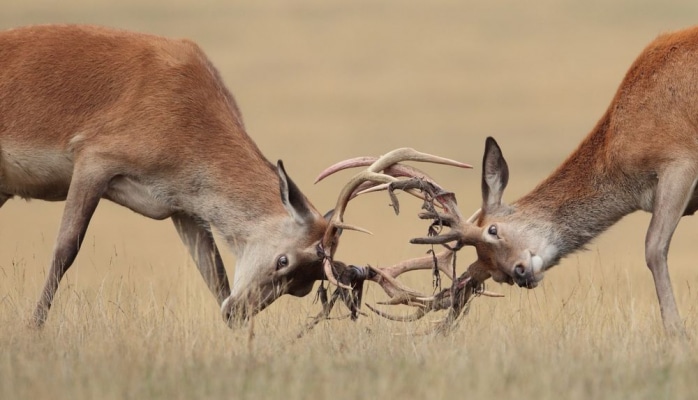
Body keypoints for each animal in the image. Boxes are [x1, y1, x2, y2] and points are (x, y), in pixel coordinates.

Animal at [1, 23, 468, 326]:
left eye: (303, 287)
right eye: (284, 260)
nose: (238, 314)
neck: (187, 120)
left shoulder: (182, 209)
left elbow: (213, 273)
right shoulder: (93, 159)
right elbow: (65, 249)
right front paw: (33, 329)